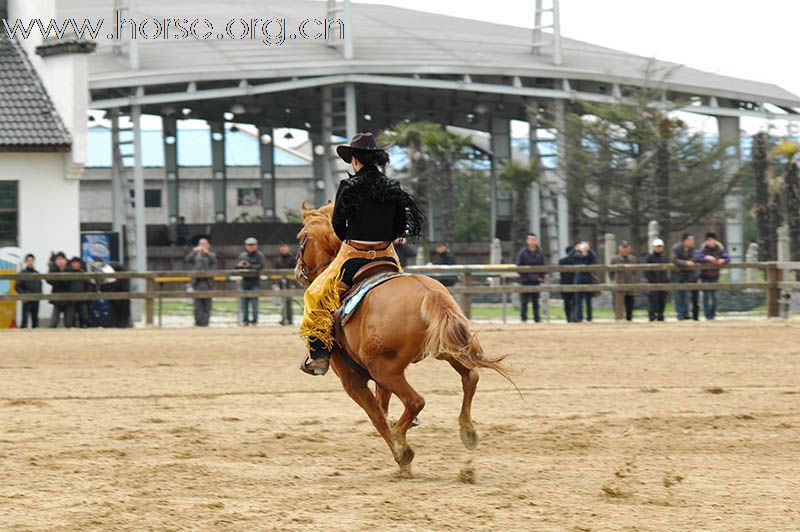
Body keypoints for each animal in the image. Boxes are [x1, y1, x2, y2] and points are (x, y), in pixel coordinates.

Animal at [294, 202, 512, 468]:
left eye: (301, 237)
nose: (298, 271)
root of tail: (429, 294)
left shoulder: (352, 379)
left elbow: (376, 415)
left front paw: (400, 454)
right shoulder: (379, 382)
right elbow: (382, 406)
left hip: (385, 369)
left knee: (415, 401)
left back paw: (401, 438)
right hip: (446, 349)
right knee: (470, 377)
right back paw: (466, 431)